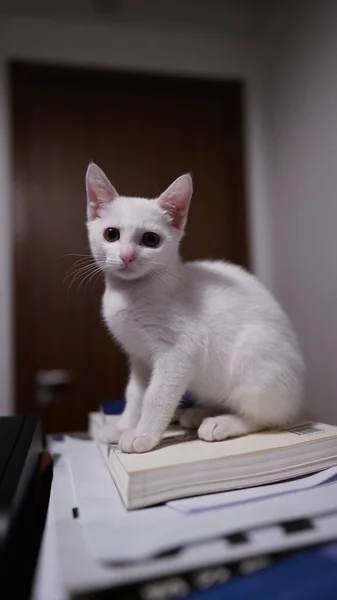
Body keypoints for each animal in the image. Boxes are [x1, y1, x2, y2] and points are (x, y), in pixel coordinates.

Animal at [84, 162, 304, 452]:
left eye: (150, 240)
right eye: (111, 234)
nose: (127, 256)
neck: (130, 294)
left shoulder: (179, 351)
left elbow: (156, 395)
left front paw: (142, 435)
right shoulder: (140, 358)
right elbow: (135, 393)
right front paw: (124, 425)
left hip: (255, 354)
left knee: (269, 417)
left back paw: (223, 422)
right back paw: (199, 412)